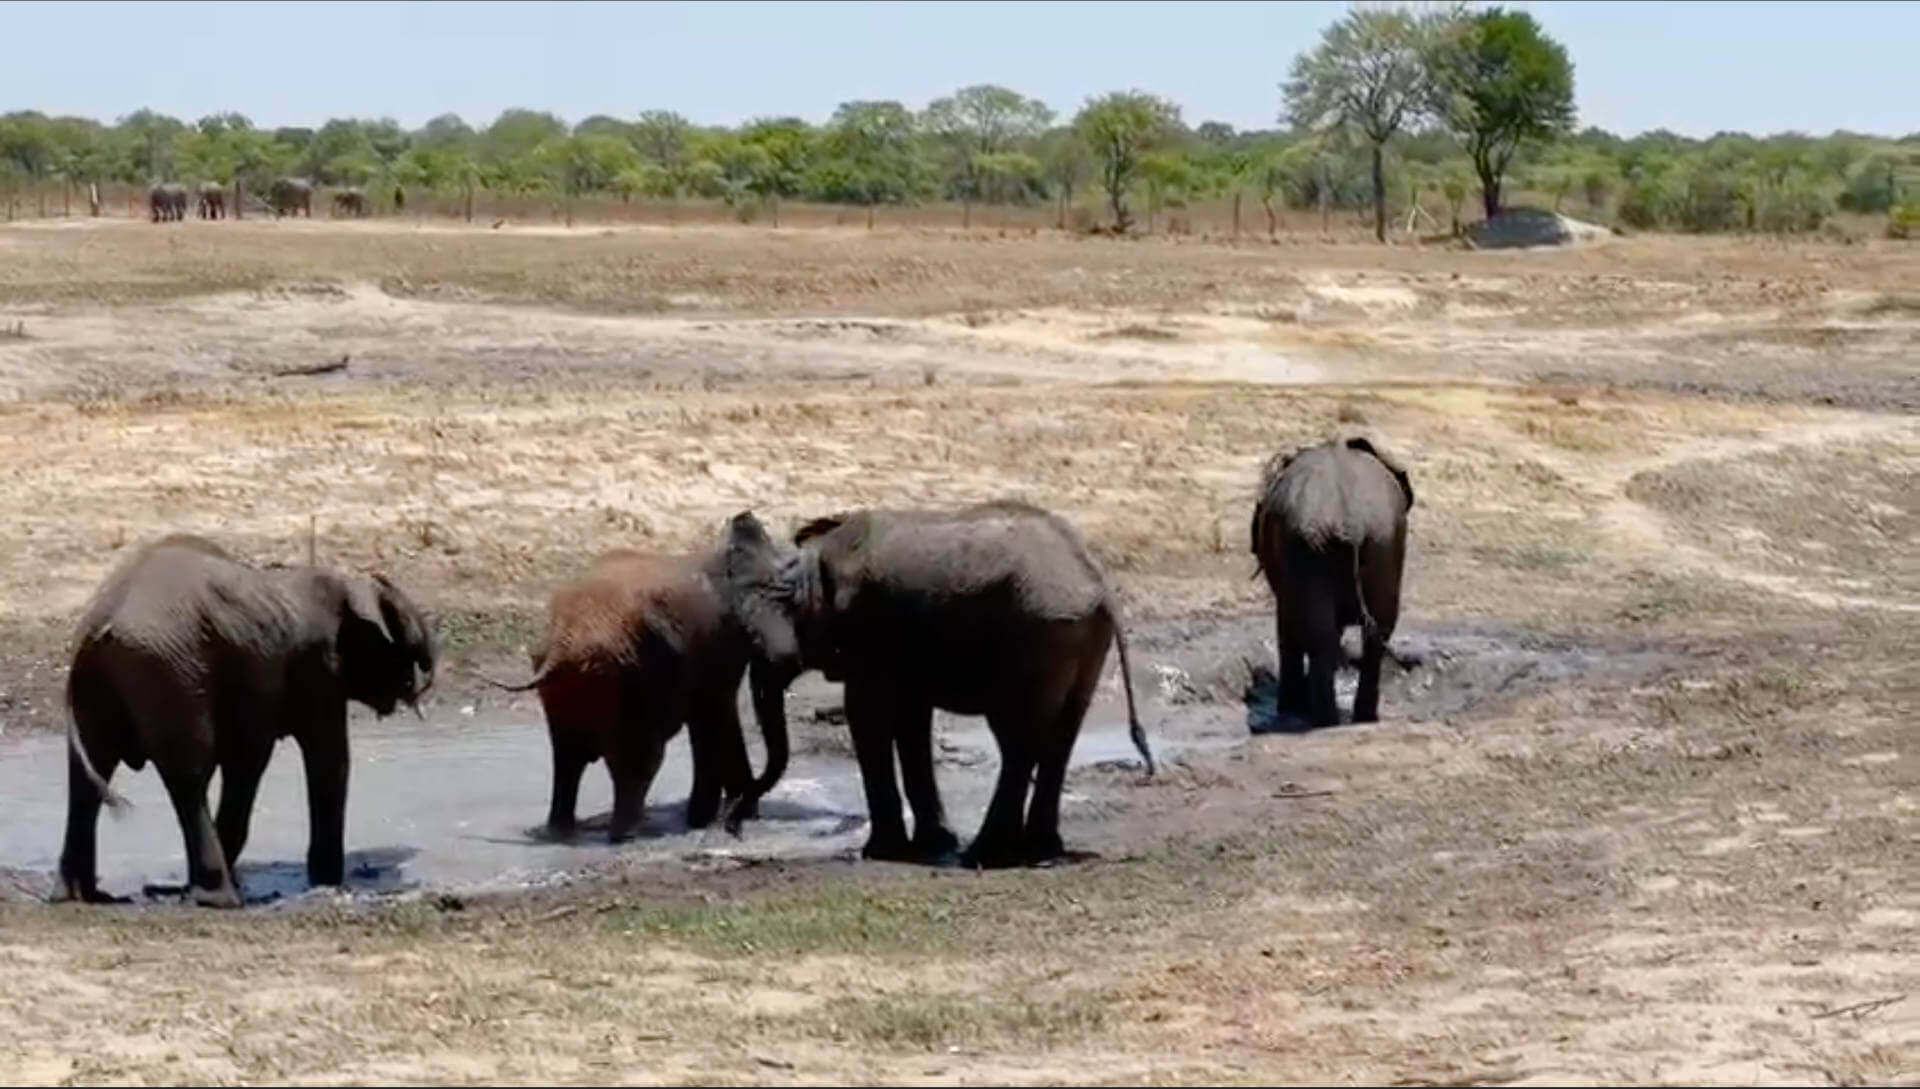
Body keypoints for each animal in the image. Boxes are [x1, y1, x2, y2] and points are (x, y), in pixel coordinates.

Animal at [55, 535, 437, 908]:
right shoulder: (317, 669)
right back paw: (220, 899)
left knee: (88, 777)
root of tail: (98, 623)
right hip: (169, 672)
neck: (348, 583)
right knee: (190, 778)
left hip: (105, 684)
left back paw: (83, 896)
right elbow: (317, 759)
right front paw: (328, 882)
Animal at [480, 541, 790, 844]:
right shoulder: (718, 644)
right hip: (627, 680)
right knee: (635, 756)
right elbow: (714, 712)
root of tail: (562, 645)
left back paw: (562, 833)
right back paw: (624, 834)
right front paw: (710, 818)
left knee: (569, 757)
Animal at [719, 501, 1155, 869]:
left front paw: (882, 852)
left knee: (1018, 739)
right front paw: (934, 845)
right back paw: (1040, 852)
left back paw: (986, 855)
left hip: (1038, 635)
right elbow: (911, 720)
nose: (734, 827)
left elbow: (867, 715)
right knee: (1060, 736)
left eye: (754, 642)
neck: (808, 566)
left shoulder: (866, 632)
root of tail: (1097, 582)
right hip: (1078, 638)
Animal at [1250, 435, 1414, 730]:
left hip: (1312, 550)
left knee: (1322, 634)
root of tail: (1351, 523)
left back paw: (1322, 719)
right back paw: (1360, 719)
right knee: (1377, 631)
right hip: (1382, 543)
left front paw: (1290, 709)